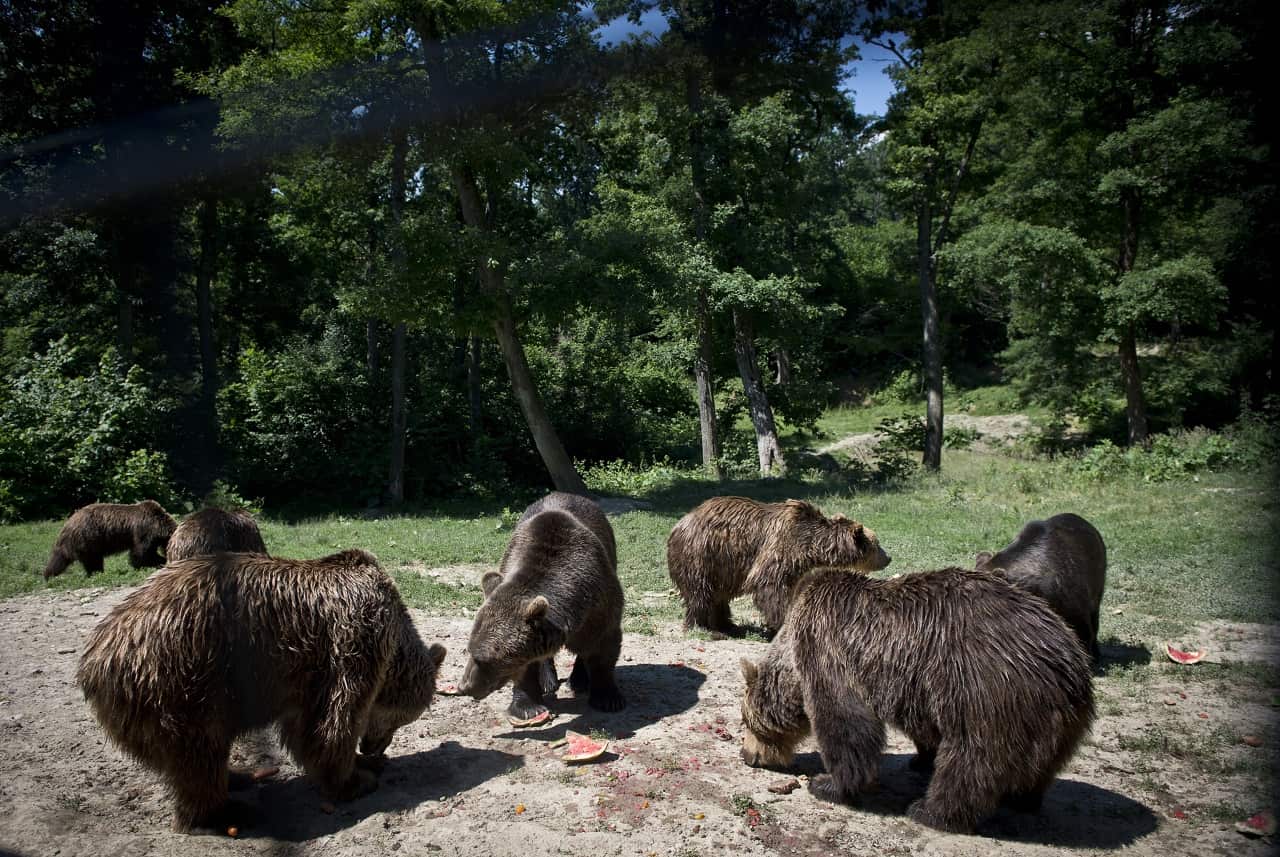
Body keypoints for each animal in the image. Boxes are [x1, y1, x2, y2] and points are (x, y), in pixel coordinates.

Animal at [43, 500, 177, 579]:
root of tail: (70, 521)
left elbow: (147, 553)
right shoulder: (144, 531)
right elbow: (142, 553)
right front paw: (158, 562)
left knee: (61, 557)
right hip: (88, 538)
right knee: (90, 559)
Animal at [76, 548, 446, 833]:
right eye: (401, 719)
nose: (374, 747)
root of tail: (94, 657)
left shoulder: (306, 672)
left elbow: (304, 727)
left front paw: (361, 764)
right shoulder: (353, 636)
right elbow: (334, 720)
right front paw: (355, 779)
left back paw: (236, 777)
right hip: (182, 680)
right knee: (199, 751)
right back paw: (226, 809)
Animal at [458, 492, 625, 720]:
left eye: (484, 659)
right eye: (469, 650)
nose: (464, 687)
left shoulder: (600, 606)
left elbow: (604, 648)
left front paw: (608, 698)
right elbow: (526, 667)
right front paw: (528, 706)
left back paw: (579, 680)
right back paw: (548, 681)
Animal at [666, 496, 890, 636]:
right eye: (877, 544)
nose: (888, 558)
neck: (810, 545)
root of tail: (679, 524)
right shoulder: (781, 546)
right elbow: (769, 586)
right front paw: (783, 622)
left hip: (723, 567)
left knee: (718, 596)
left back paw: (728, 625)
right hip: (703, 555)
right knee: (700, 592)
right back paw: (707, 628)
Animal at [739, 567, 1095, 834]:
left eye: (745, 721)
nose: (747, 756)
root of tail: (1070, 665)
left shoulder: (828, 647)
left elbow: (845, 721)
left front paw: (829, 784)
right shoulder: (914, 689)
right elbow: (920, 728)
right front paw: (920, 758)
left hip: (989, 693)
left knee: (971, 760)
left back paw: (930, 810)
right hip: (1052, 722)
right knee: (1039, 766)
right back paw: (1024, 799)